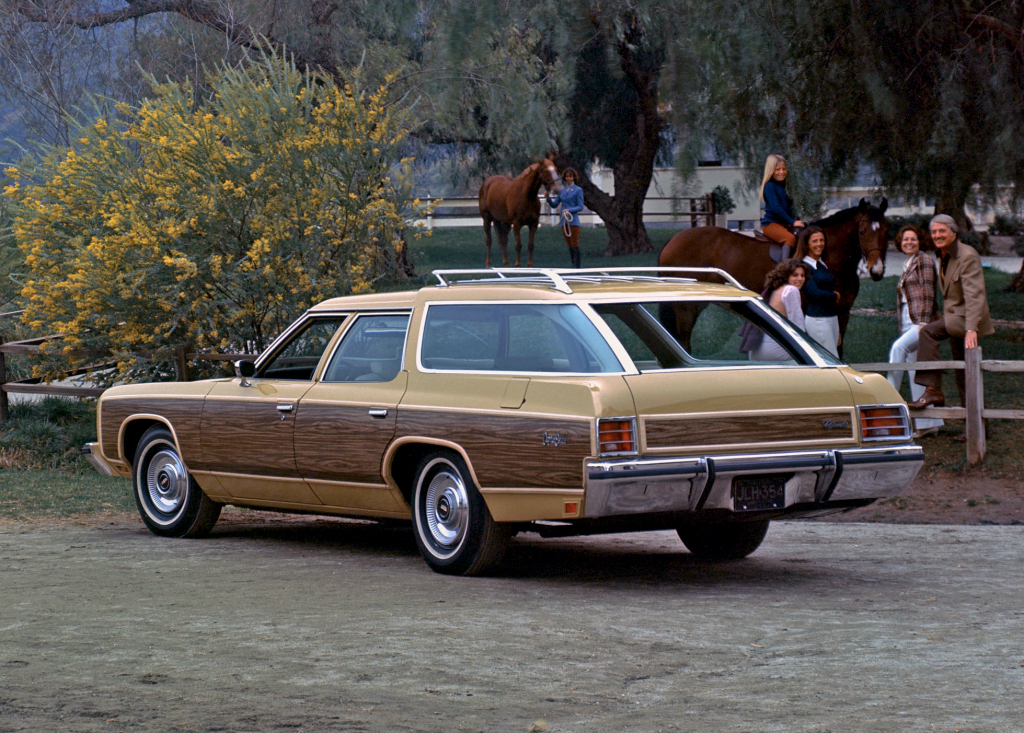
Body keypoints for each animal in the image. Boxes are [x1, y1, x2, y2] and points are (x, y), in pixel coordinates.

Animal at [655, 194, 888, 354]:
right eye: (862, 232)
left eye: (887, 231)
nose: (876, 270)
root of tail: (674, 240)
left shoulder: (842, 312)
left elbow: (837, 350)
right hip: (684, 307)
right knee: (683, 340)